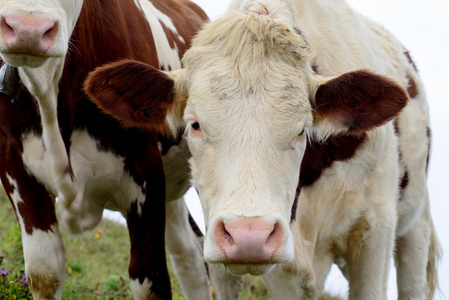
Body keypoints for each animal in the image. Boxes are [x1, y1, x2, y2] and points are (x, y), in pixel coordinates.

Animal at [0, 0, 226, 300]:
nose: (27, 30)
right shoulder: (13, 163)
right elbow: (43, 272)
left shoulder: (145, 171)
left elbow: (150, 281)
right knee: (190, 253)